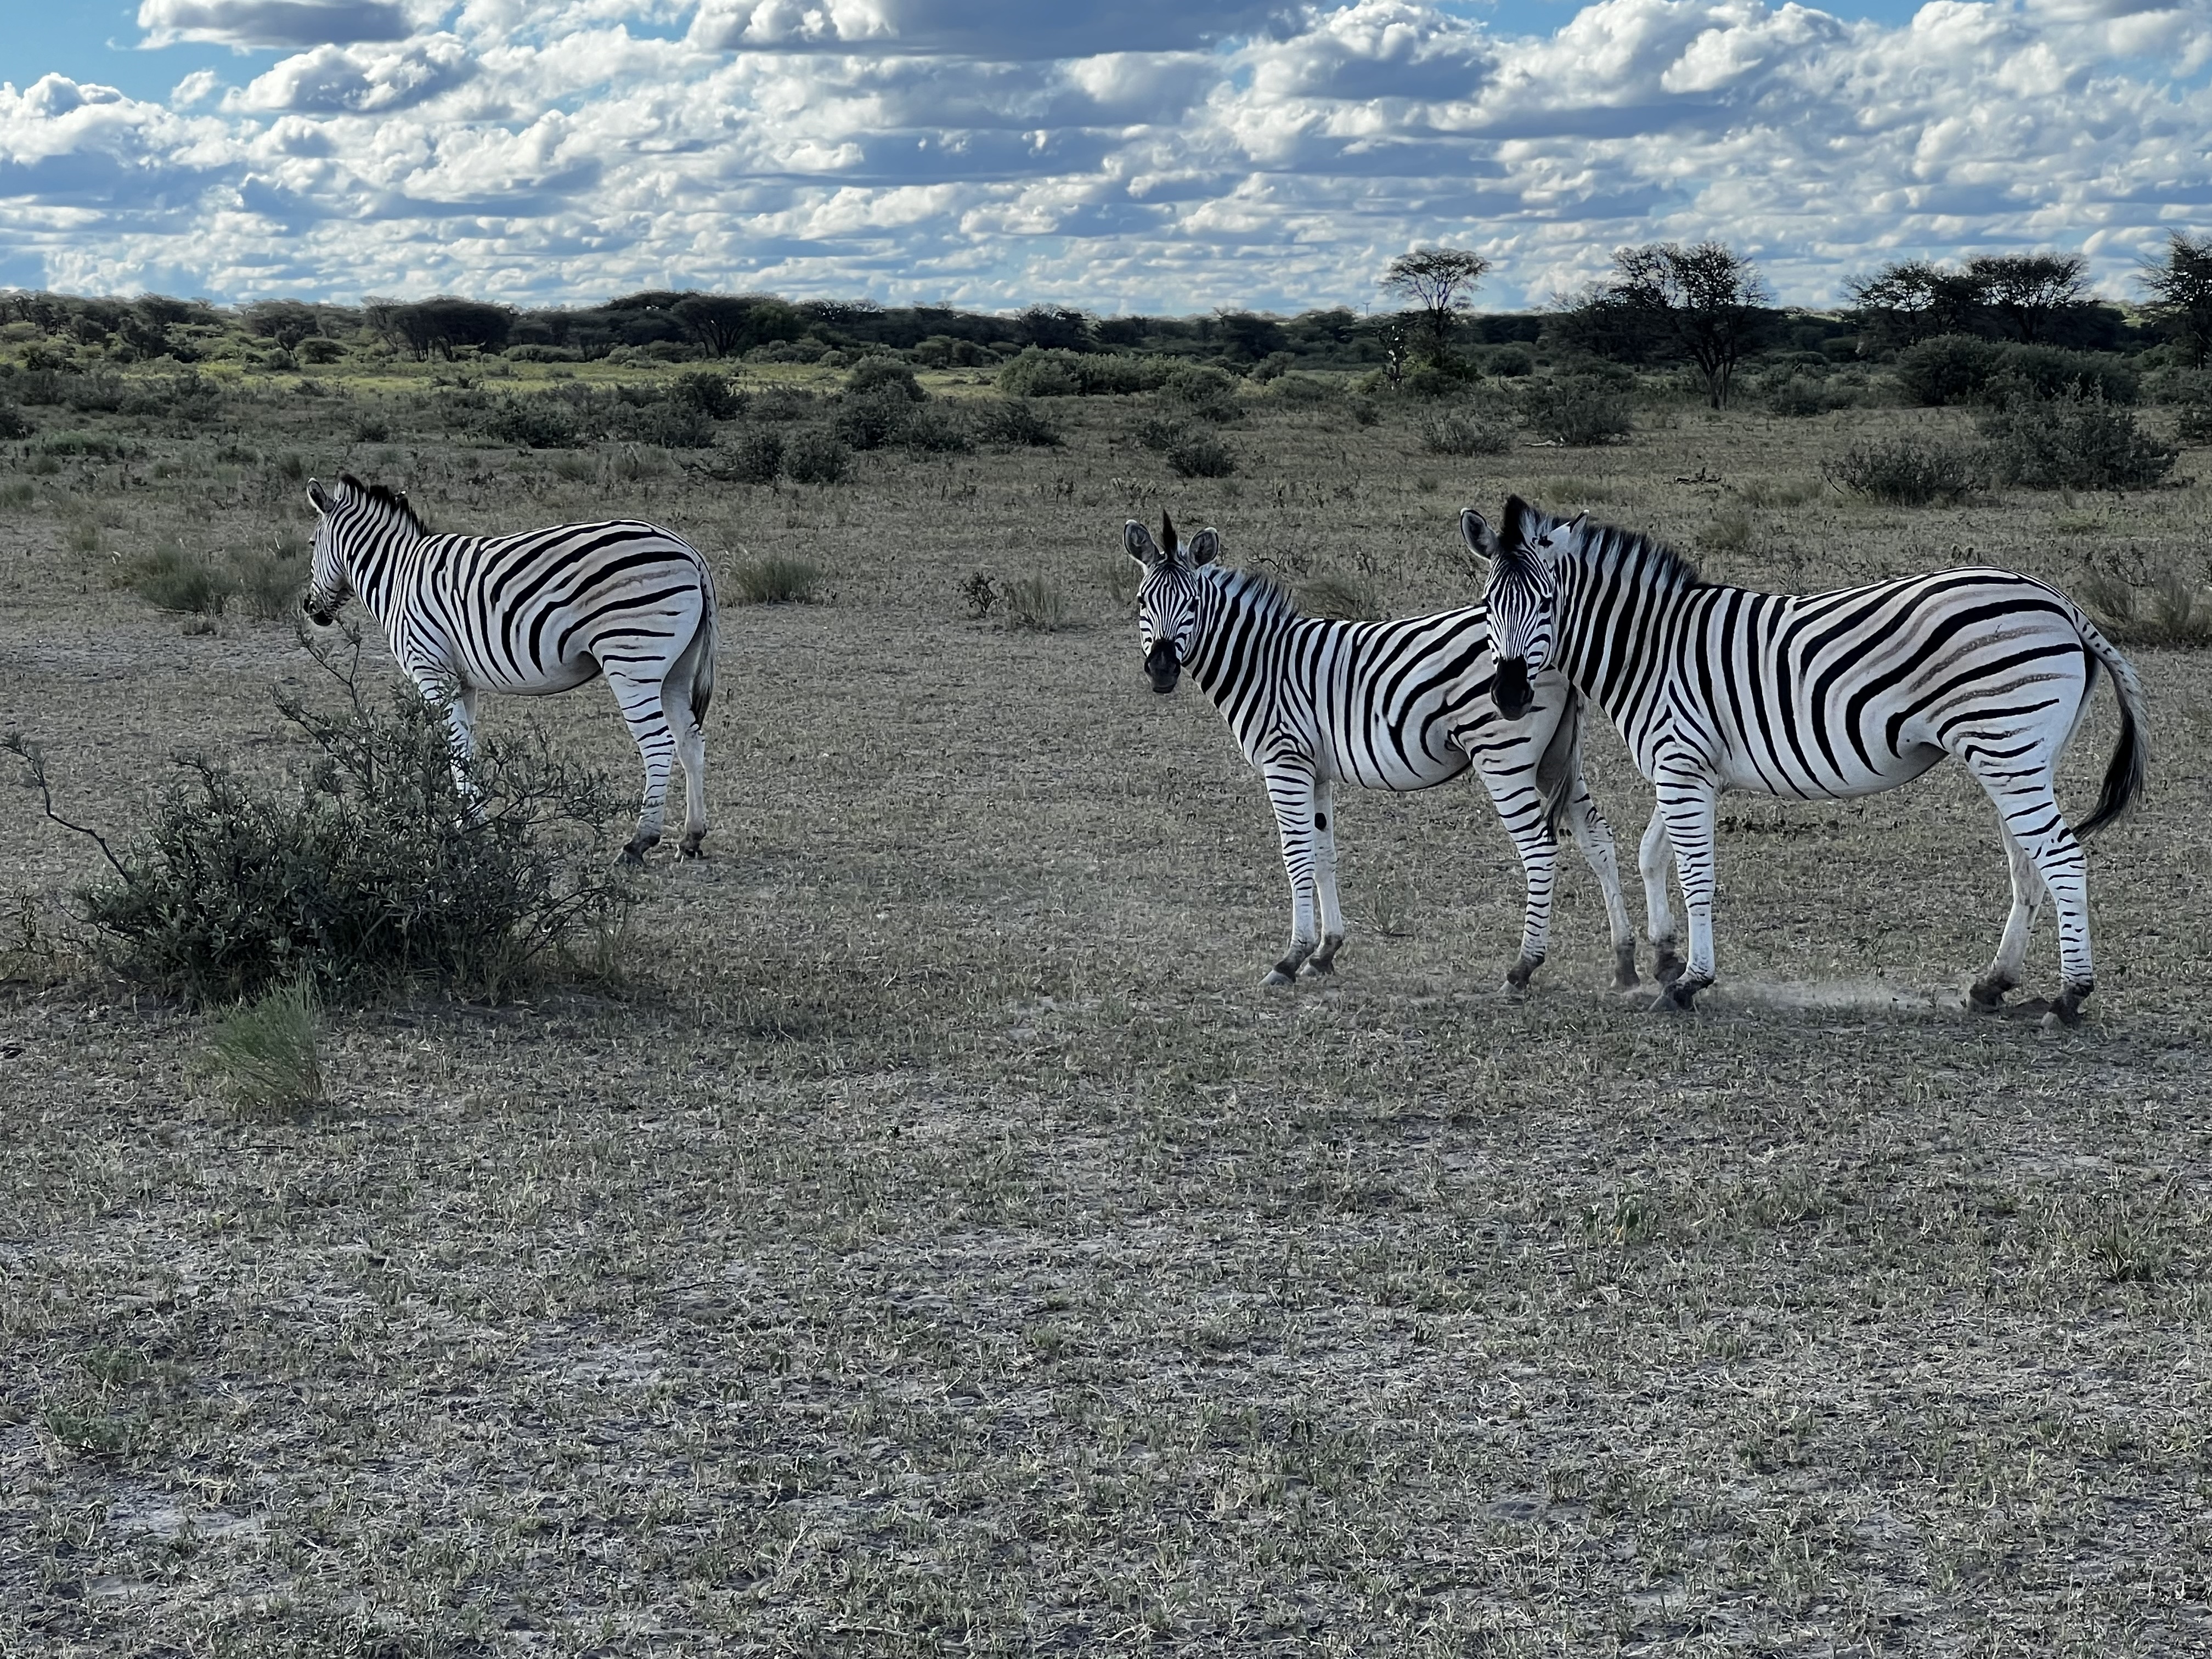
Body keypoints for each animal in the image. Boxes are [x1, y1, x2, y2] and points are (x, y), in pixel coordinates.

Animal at [301, 473, 716, 862]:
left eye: (309, 545)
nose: (309, 608)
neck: (396, 574)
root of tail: (689, 552)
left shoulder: (430, 668)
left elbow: (454, 747)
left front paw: (467, 828)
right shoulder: (461, 681)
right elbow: (464, 749)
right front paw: (470, 822)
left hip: (632, 657)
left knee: (658, 744)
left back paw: (639, 842)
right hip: (675, 669)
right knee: (690, 741)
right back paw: (691, 837)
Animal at [1132, 513, 1637, 995]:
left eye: (1191, 605)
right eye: (1141, 602)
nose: (1161, 670)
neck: (1262, 662)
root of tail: (1557, 650)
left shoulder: (1285, 760)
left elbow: (1296, 855)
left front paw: (1290, 959)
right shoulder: (1316, 769)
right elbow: (1324, 853)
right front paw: (1326, 951)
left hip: (1504, 755)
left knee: (1540, 848)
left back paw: (1523, 968)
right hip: (1554, 760)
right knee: (1598, 838)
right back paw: (1625, 960)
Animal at [1460, 493, 2150, 1026]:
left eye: (1547, 603)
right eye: (1490, 607)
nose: (1510, 695)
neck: (1648, 648)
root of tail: (2059, 602)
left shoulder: (1681, 764)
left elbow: (1696, 874)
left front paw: (1690, 982)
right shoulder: (1689, 767)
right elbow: (1652, 855)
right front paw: (1665, 959)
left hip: (2007, 748)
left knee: (2061, 857)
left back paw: (2069, 998)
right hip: (2020, 756)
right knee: (2028, 864)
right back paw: (1994, 984)